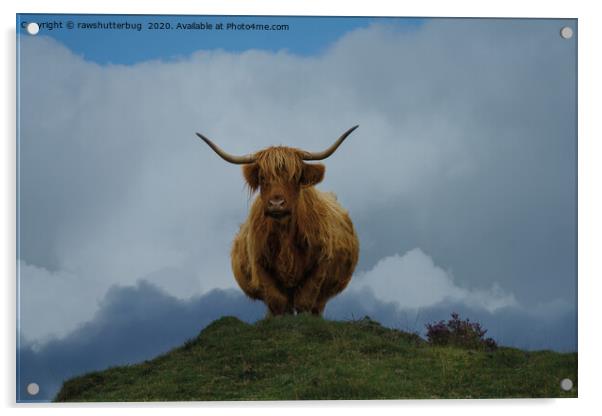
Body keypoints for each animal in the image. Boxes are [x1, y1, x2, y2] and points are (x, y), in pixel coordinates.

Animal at [195, 126, 358, 316]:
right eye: (262, 177)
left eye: (295, 177)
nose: (276, 204)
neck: (285, 235)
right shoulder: (261, 266)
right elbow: (278, 303)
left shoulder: (319, 266)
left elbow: (305, 302)